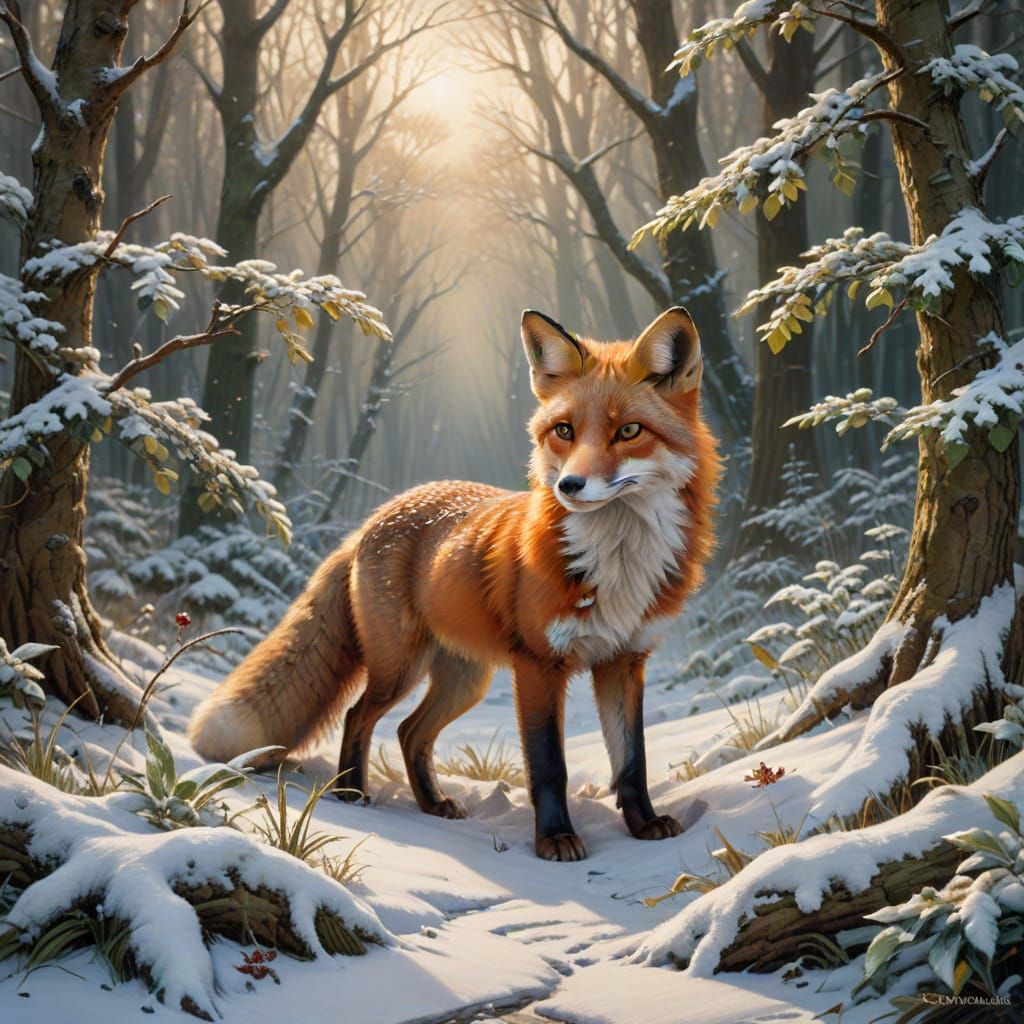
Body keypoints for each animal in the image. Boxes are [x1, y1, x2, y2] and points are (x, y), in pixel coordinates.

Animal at [189, 306, 720, 861]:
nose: (568, 486)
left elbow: (632, 760)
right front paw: (554, 839)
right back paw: (352, 793)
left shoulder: (624, 661)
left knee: (408, 731)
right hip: (400, 666)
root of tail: (377, 516)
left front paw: (645, 824)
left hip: (464, 679)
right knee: (359, 715)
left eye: (630, 431)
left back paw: (432, 803)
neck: (616, 561)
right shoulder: (537, 665)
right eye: (565, 430)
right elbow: (549, 765)